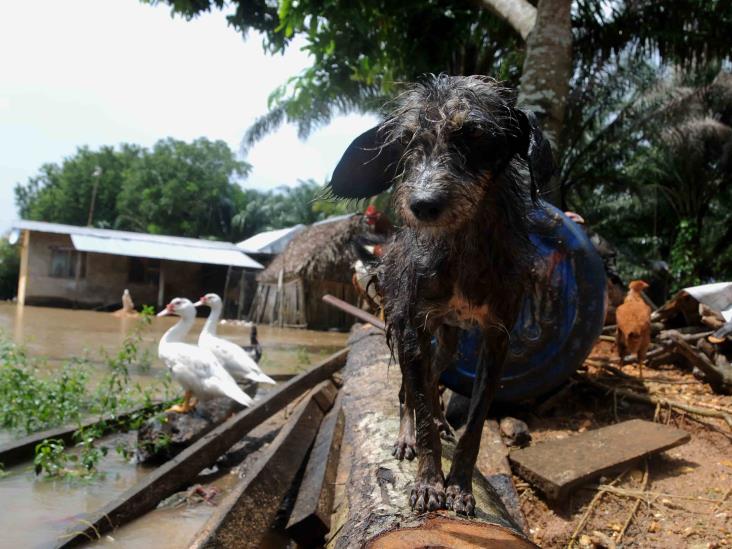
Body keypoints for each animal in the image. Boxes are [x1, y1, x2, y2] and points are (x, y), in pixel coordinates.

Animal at [328, 75, 552, 516]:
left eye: (475, 133)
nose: (421, 204)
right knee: (408, 391)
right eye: (405, 141)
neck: (462, 248)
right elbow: (420, 407)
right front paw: (429, 482)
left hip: (448, 341)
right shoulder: (412, 329)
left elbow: (475, 422)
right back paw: (406, 434)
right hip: (410, 331)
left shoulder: (497, 338)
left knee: (432, 381)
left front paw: (460, 486)